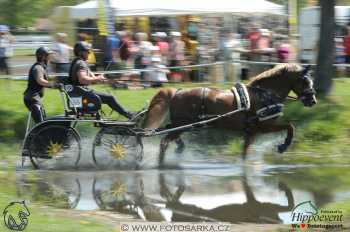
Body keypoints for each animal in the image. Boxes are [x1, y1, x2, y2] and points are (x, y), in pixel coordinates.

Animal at [142, 63, 318, 166]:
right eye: (304, 80)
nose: (313, 100)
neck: (265, 94)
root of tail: (177, 92)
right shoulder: (263, 126)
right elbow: (290, 126)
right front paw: (283, 145)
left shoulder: (251, 132)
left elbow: (245, 152)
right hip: (183, 125)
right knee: (164, 142)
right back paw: (161, 164)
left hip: (182, 125)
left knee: (170, 136)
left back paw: (178, 150)